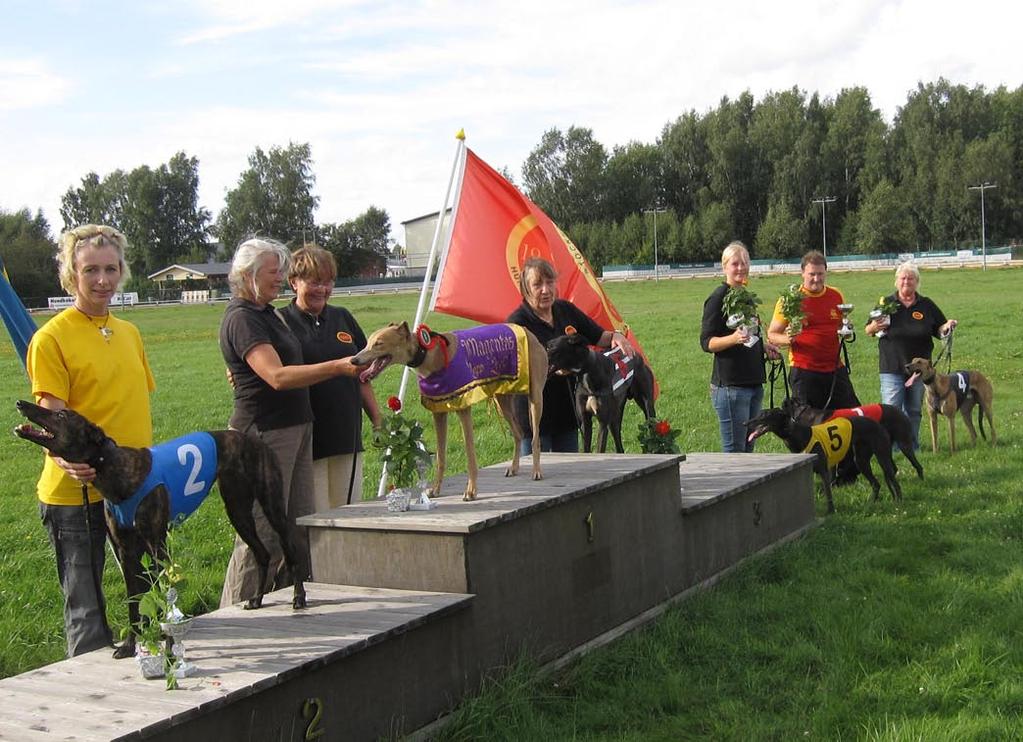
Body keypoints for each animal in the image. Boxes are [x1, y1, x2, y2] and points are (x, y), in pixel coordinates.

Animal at [14, 399, 304, 659]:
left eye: (62, 415)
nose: (20, 403)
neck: (114, 468)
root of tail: (255, 440)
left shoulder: (157, 547)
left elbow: (165, 598)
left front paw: (169, 649)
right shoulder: (127, 552)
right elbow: (134, 601)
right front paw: (129, 646)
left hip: (271, 505)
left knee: (289, 545)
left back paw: (299, 597)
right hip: (238, 510)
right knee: (263, 552)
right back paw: (256, 600)